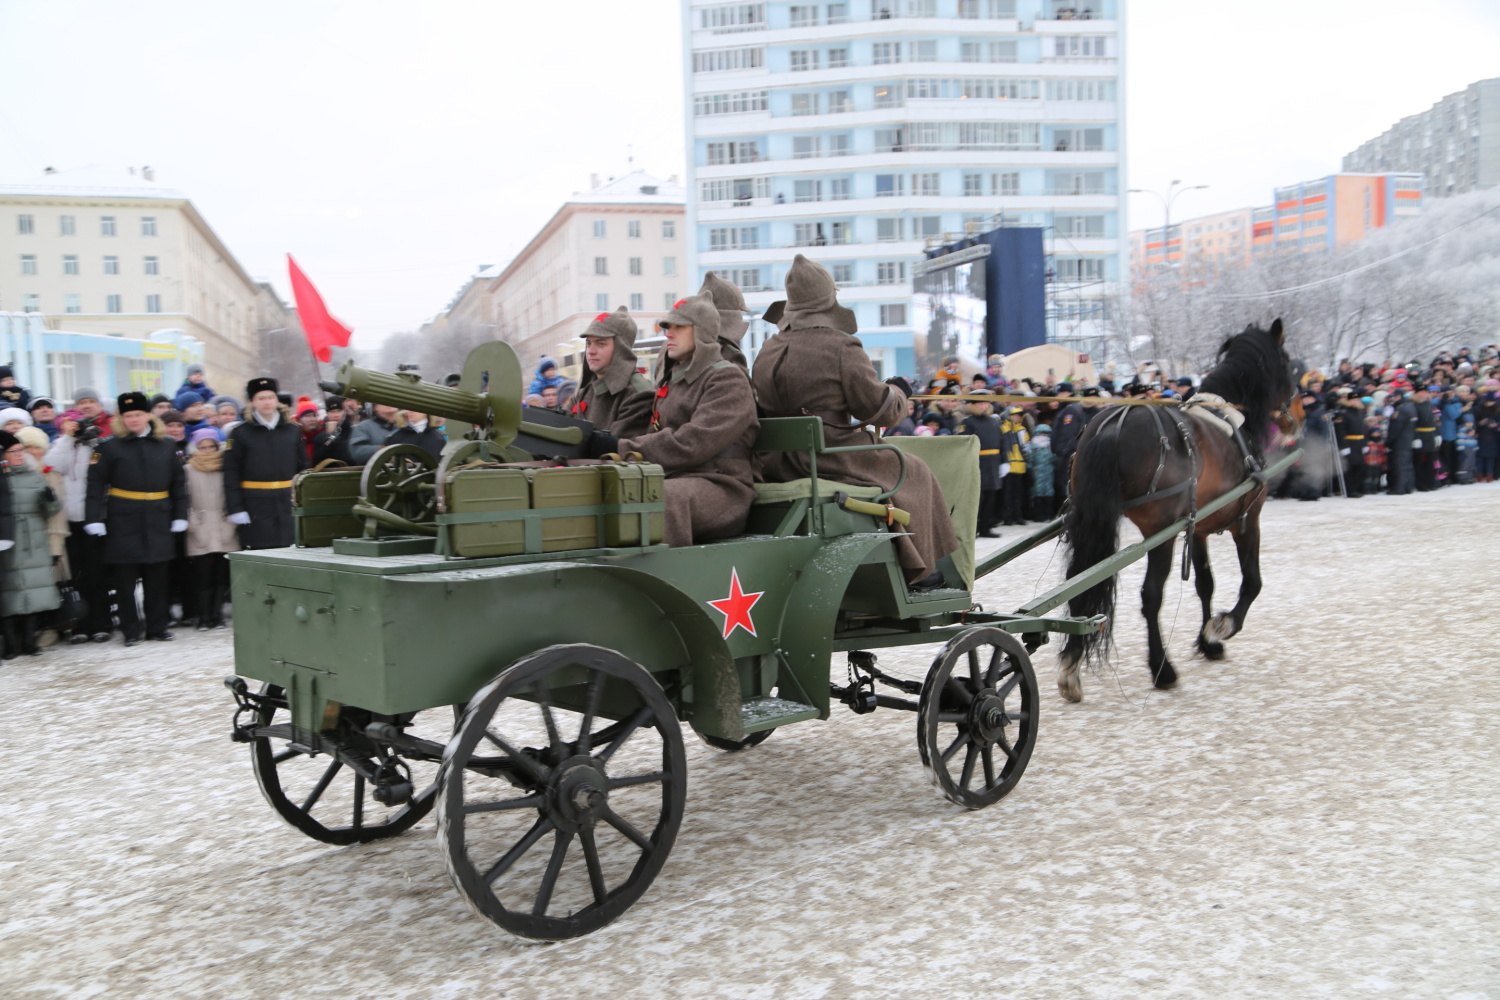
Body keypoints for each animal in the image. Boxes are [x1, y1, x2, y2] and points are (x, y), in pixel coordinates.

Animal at [1056, 320, 1302, 704]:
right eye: (1289, 364)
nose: (1296, 420)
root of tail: (1114, 423)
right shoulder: (1247, 520)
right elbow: (1252, 582)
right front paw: (1221, 628)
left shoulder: (1196, 527)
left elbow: (1205, 584)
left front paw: (1207, 643)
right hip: (1160, 533)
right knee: (1151, 595)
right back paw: (1162, 669)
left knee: (1081, 581)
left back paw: (1071, 666)